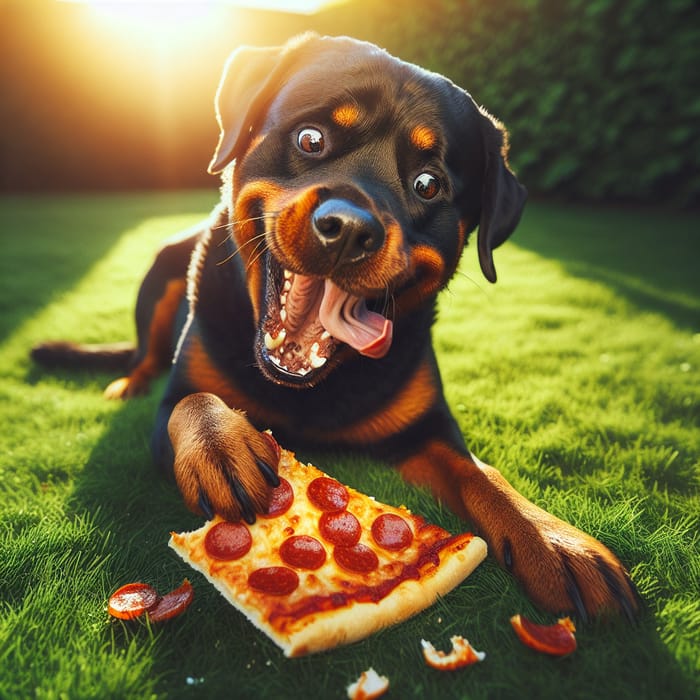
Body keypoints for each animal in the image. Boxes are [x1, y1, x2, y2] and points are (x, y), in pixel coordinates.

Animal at [35, 34, 640, 624]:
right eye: (310, 139)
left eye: (428, 184)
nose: (348, 228)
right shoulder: (178, 395)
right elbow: (192, 400)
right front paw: (220, 446)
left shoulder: (426, 428)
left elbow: (482, 473)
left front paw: (557, 543)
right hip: (161, 271)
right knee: (144, 354)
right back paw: (128, 382)